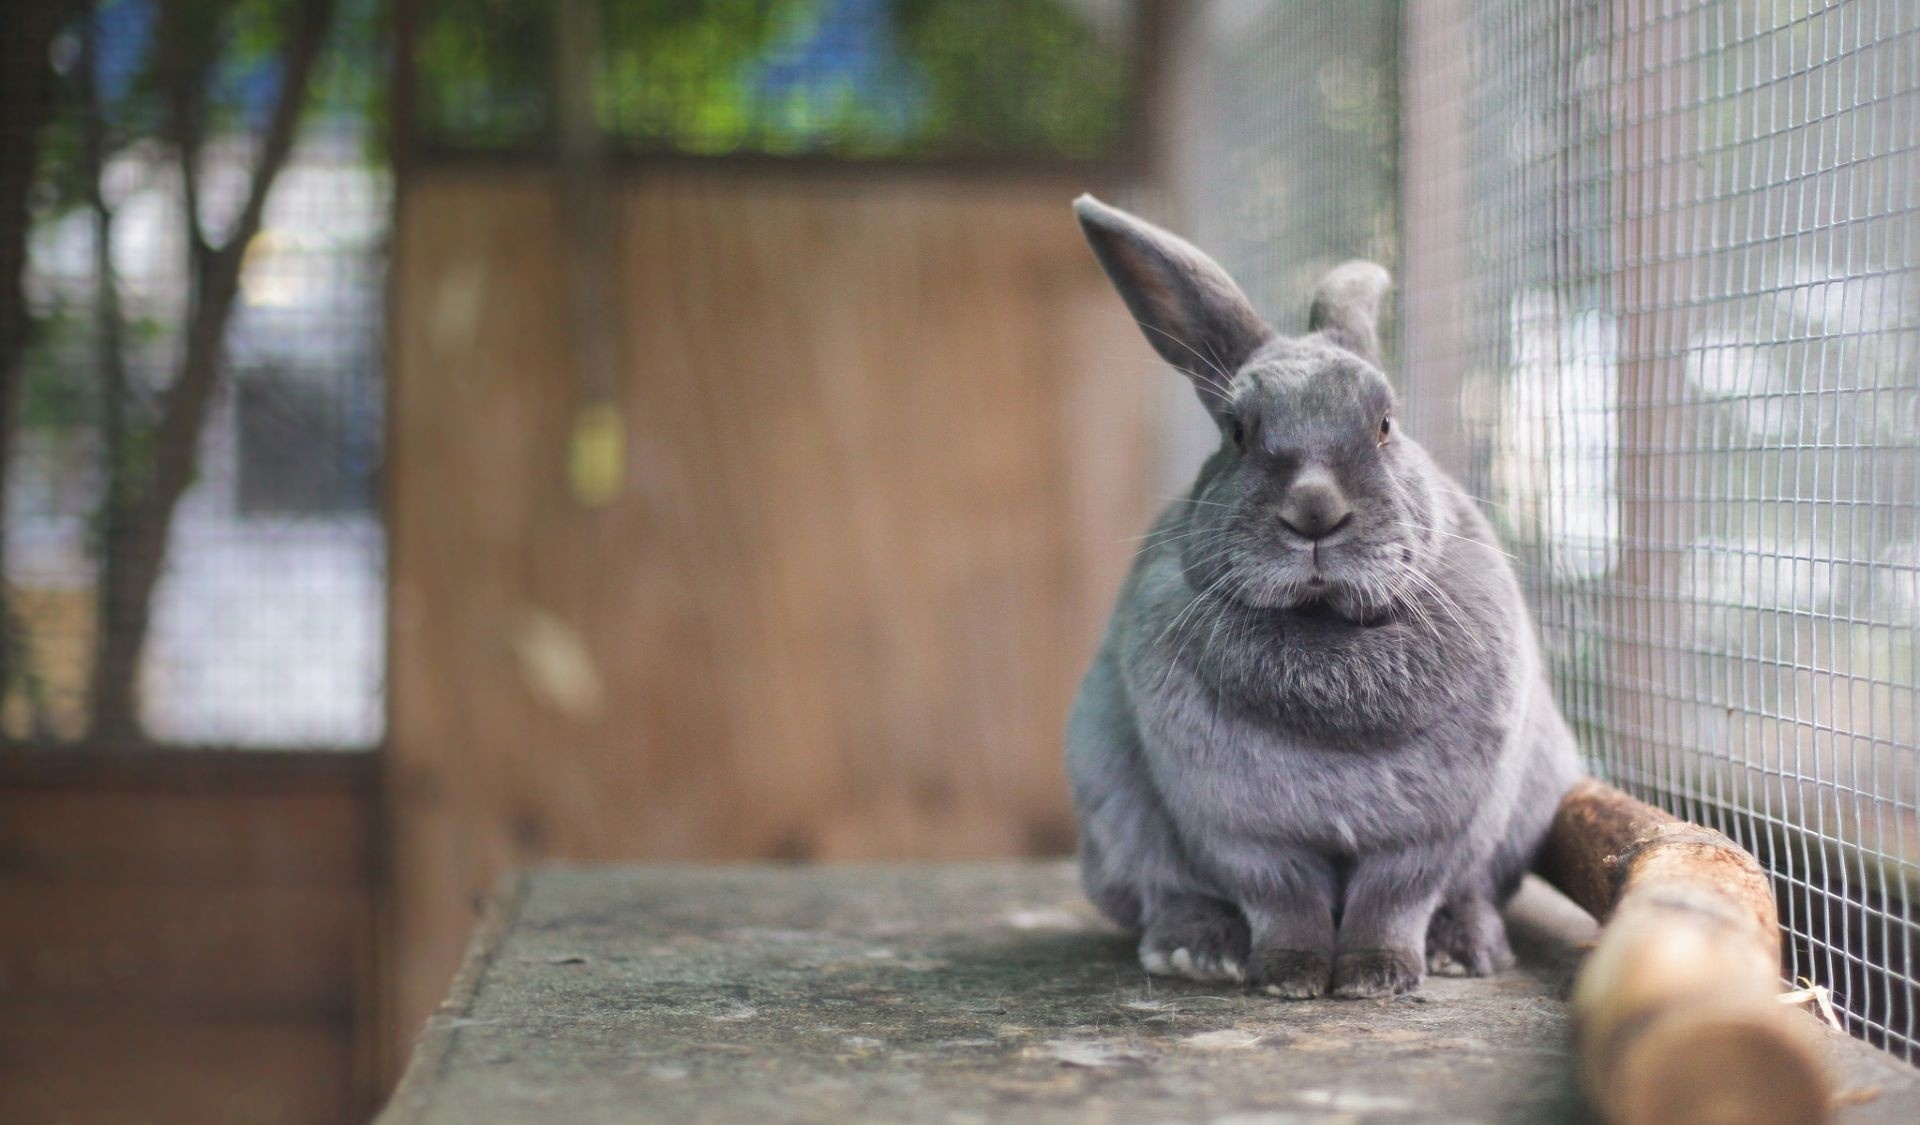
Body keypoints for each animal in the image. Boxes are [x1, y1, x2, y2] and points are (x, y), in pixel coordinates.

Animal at [1067, 196, 1574, 990]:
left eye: (1387, 423)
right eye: (1238, 431)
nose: (1314, 512)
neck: (1323, 624)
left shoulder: (1429, 835)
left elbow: (1393, 901)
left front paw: (1376, 977)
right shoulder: (1242, 830)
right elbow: (1285, 900)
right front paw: (1291, 976)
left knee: (1474, 890)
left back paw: (1465, 951)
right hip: (1113, 810)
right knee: (1164, 888)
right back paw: (1196, 950)